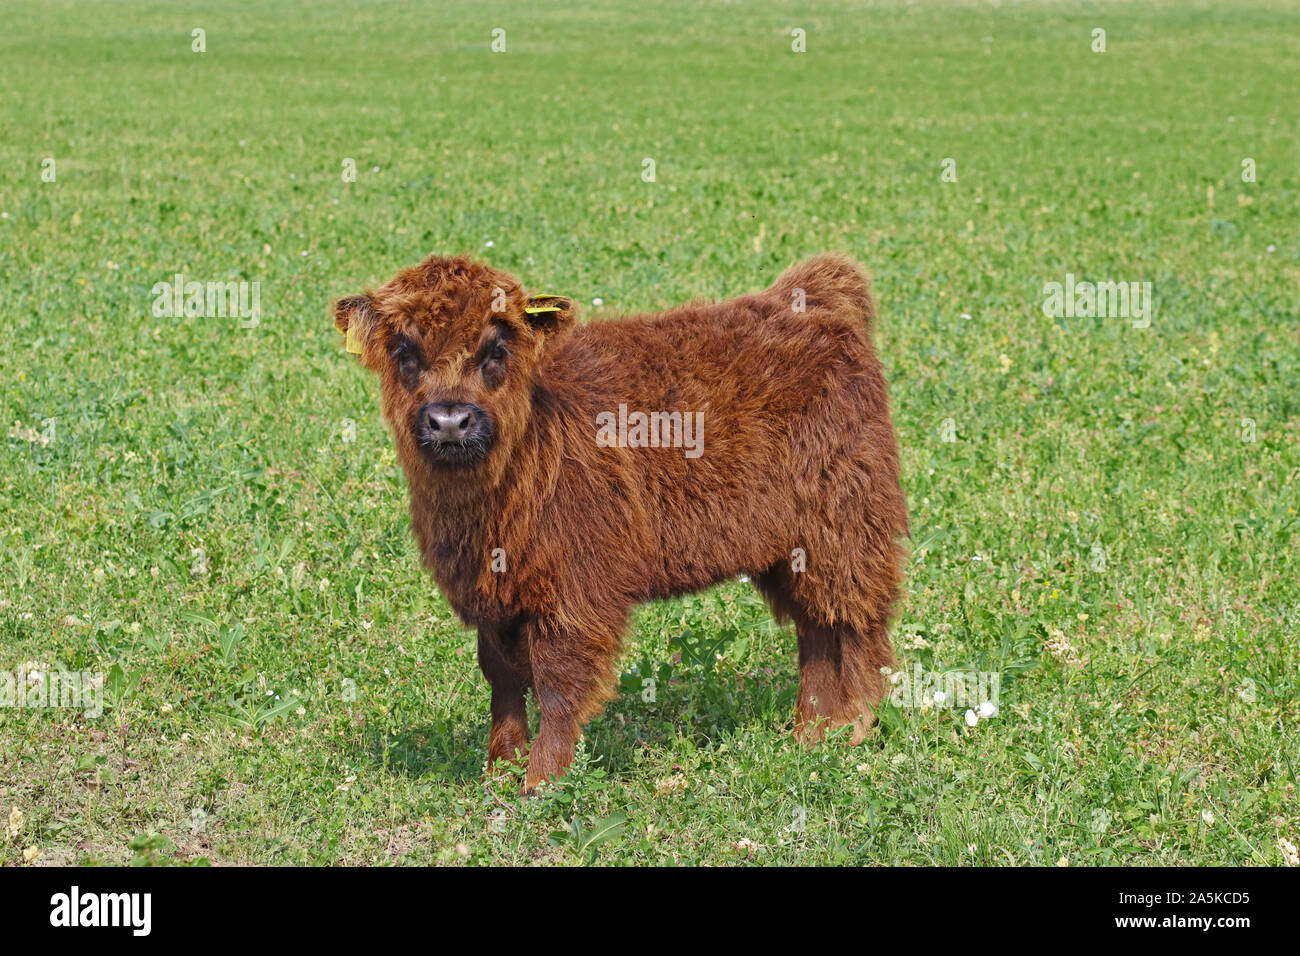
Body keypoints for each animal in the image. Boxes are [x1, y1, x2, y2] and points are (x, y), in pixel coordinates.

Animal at [330, 254, 909, 790]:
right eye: (405, 352)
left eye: (496, 350)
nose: (450, 420)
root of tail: (811, 296)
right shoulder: (493, 594)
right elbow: (502, 678)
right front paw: (499, 770)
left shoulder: (575, 592)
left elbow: (556, 684)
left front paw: (542, 781)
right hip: (791, 546)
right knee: (817, 627)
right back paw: (811, 732)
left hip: (847, 525)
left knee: (858, 623)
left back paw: (854, 728)